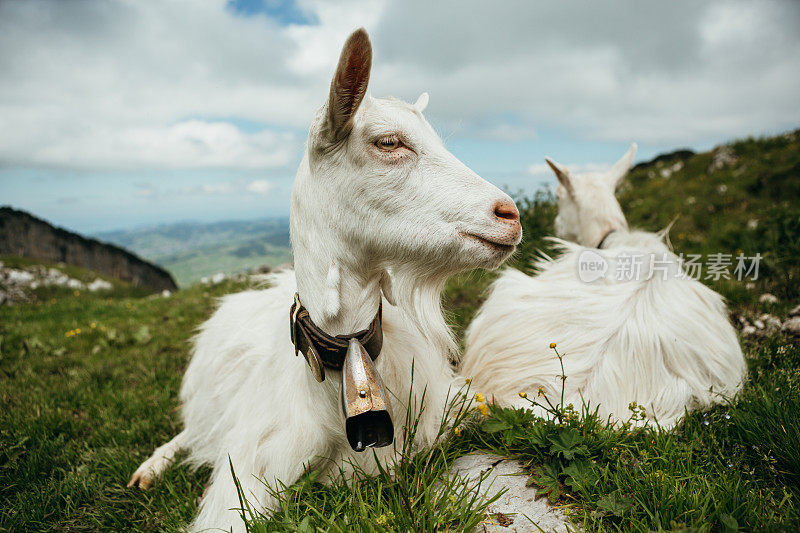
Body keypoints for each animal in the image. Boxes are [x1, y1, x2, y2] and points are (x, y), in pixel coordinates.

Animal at [127, 30, 520, 532]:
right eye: (389, 142)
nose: (509, 215)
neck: (345, 359)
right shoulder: (247, 473)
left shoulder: (449, 401)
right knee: (189, 432)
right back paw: (150, 466)